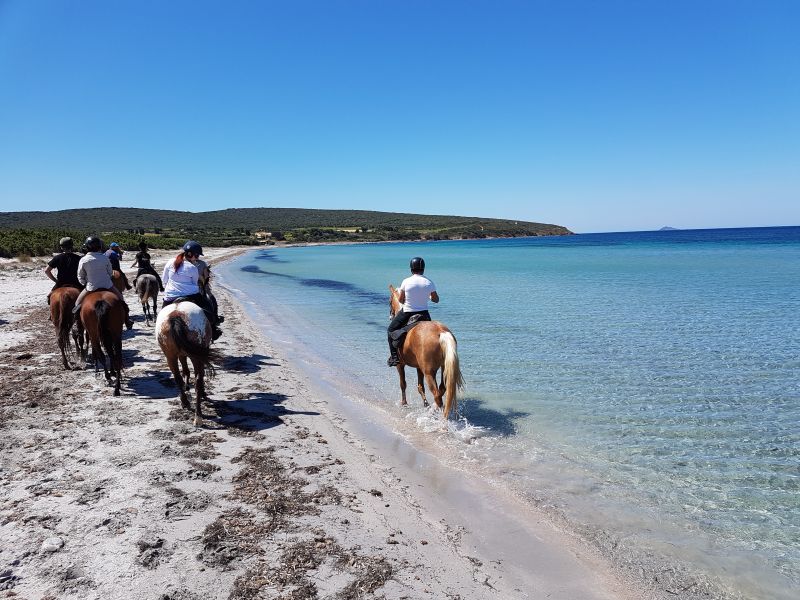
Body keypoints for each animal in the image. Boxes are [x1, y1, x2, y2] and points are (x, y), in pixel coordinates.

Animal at [388, 284, 462, 418]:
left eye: (389, 301)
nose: (390, 315)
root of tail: (441, 332)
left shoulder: (400, 365)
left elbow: (403, 384)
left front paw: (404, 403)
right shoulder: (418, 367)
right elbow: (420, 387)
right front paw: (425, 404)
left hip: (429, 372)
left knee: (437, 395)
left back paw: (433, 412)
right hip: (443, 368)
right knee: (442, 389)